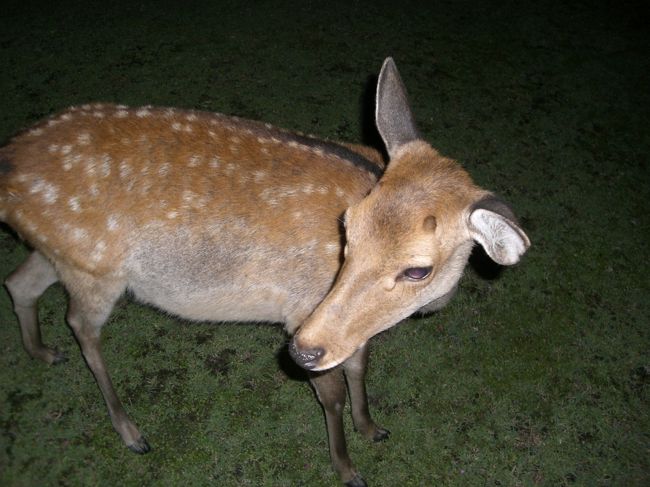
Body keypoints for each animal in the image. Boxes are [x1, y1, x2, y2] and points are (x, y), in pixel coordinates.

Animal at [0, 58, 529, 486]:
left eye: (417, 270)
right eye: (348, 227)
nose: (301, 351)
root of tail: (8, 164)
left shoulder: (342, 326)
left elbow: (359, 363)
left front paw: (372, 427)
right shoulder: (304, 308)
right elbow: (332, 394)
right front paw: (346, 468)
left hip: (62, 251)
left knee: (18, 283)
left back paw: (43, 353)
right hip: (96, 268)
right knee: (79, 324)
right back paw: (131, 430)